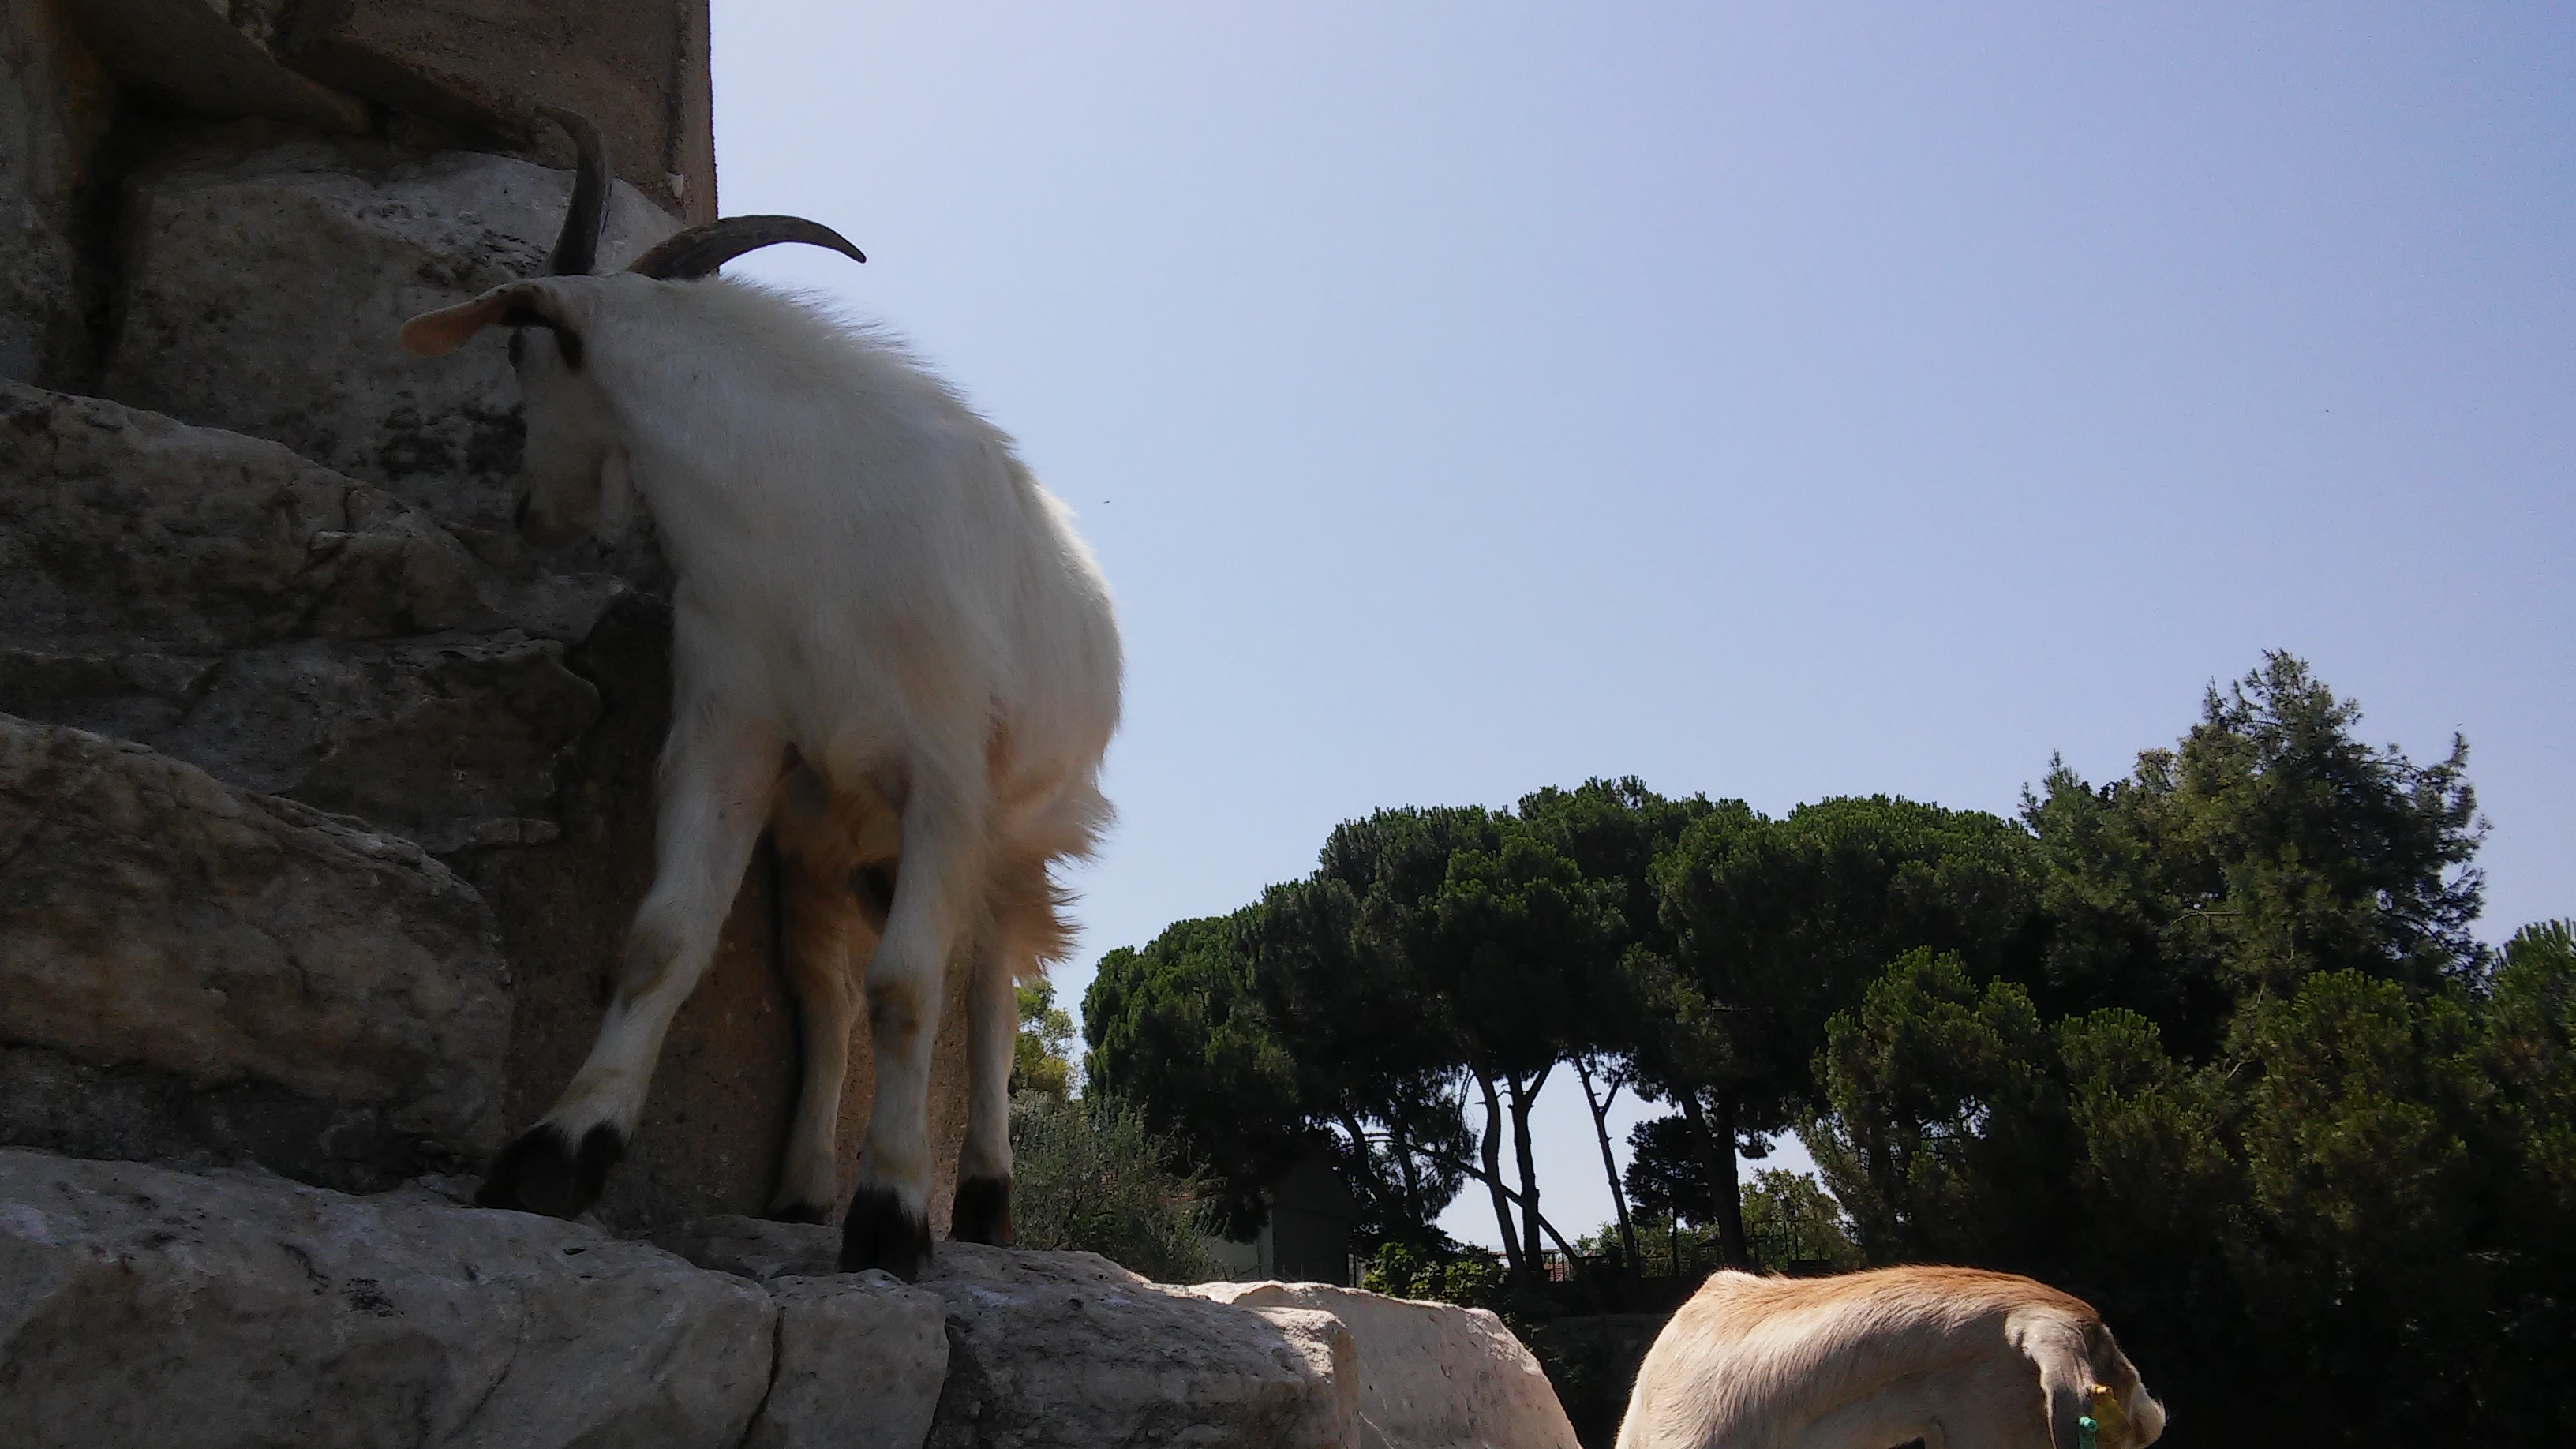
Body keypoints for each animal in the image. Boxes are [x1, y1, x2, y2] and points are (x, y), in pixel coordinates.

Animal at [397, 108, 1121, 1279]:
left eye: (517, 349)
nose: (529, 514)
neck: (801, 525)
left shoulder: (945, 776)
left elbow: (913, 993)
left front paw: (891, 1222)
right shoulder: (731, 731)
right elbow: (666, 939)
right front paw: (557, 1154)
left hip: (1010, 842)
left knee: (986, 998)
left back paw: (981, 1198)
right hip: (826, 838)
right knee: (824, 993)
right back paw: (800, 1187)